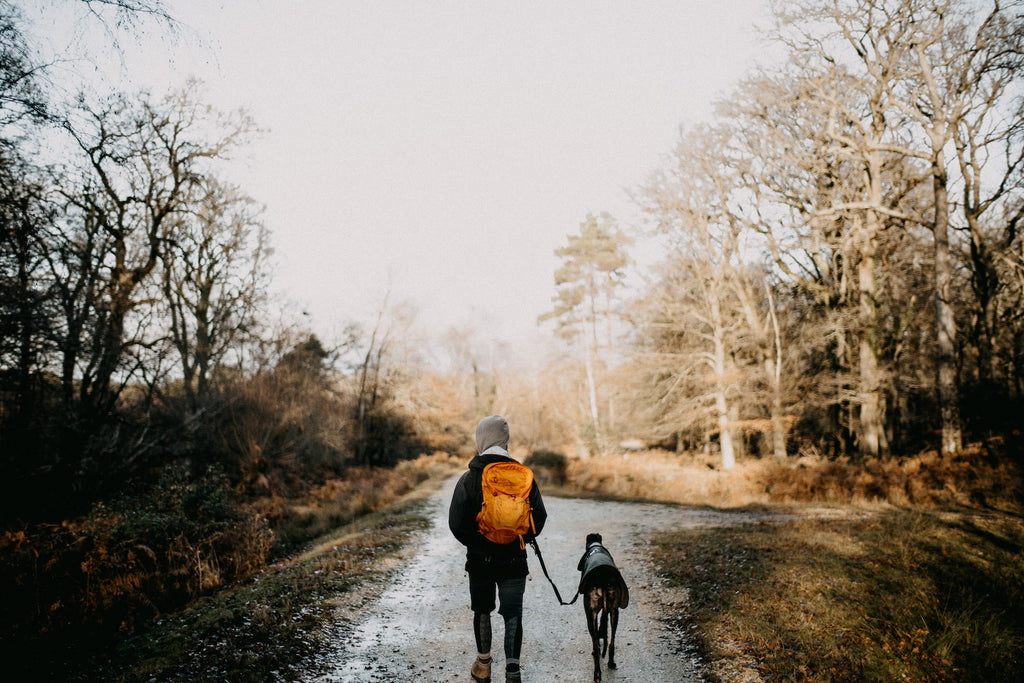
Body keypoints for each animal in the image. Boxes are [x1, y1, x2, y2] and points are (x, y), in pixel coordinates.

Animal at [581, 532, 626, 683]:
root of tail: (603, 579)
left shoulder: (592, 611)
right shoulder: (607, 609)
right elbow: (603, 622)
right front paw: (602, 631)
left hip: (590, 615)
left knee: (596, 645)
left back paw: (597, 674)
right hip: (614, 611)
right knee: (611, 641)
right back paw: (611, 663)